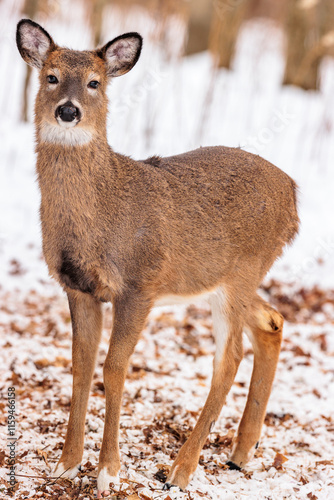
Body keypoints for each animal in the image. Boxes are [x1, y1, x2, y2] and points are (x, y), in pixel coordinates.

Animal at [16, 18, 300, 496]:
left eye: (95, 82)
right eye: (51, 77)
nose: (68, 111)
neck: (101, 215)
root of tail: (294, 194)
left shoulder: (139, 285)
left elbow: (114, 368)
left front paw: (108, 471)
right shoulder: (77, 287)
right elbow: (80, 365)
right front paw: (66, 464)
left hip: (242, 273)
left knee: (230, 356)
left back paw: (181, 469)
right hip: (225, 279)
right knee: (272, 321)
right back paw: (240, 453)